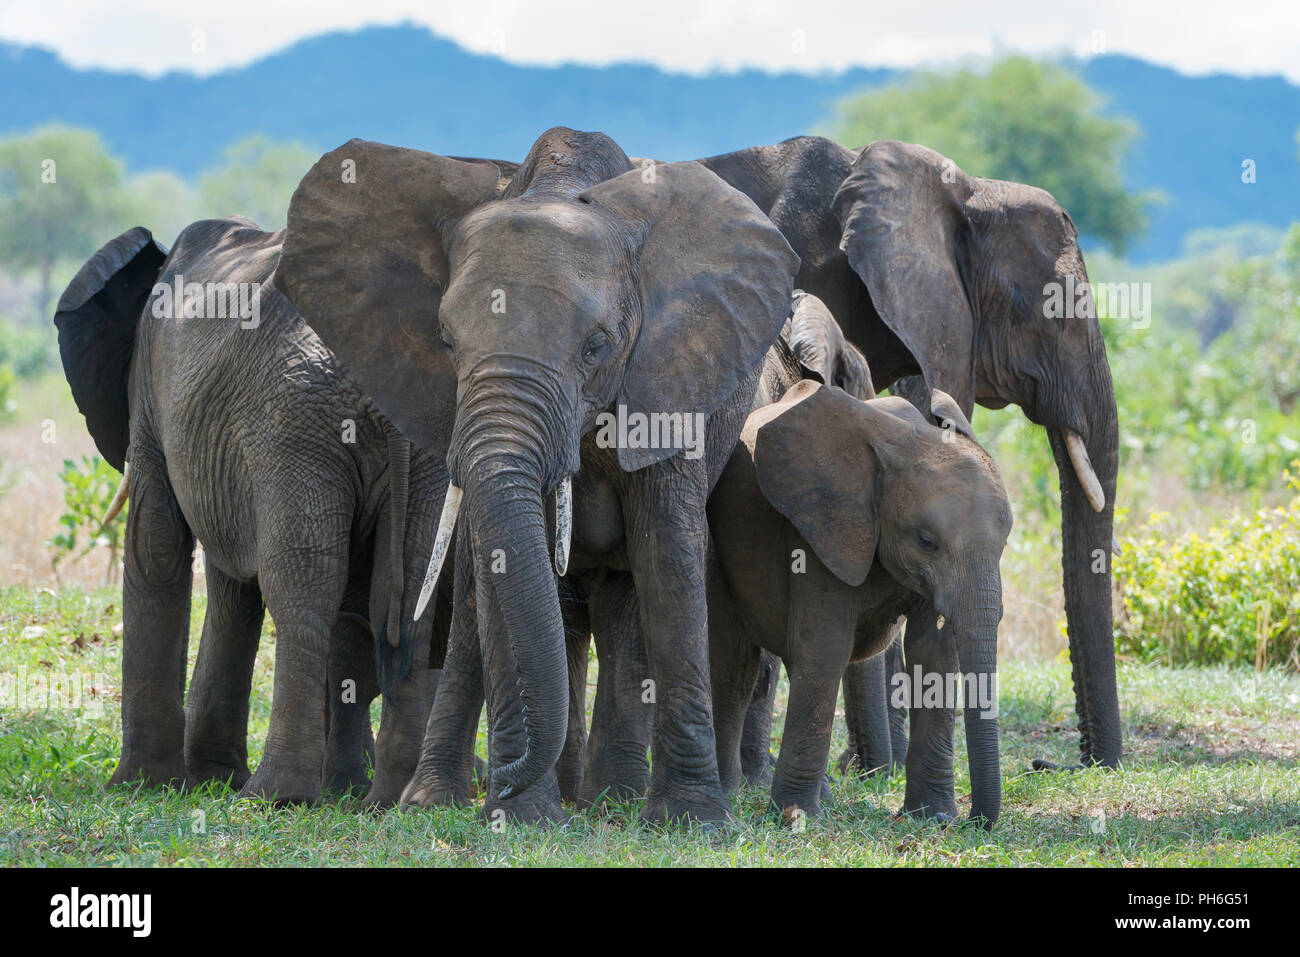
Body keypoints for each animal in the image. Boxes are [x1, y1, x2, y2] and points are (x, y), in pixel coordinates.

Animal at [54, 218, 452, 806]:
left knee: (302, 586)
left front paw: (141, 786)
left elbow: (157, 546)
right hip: (419, 447)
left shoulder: (150, 395)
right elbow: (232, 584)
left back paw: (276, 795)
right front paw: (207, 779)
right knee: (408, 594)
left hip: (293, 429)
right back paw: (390, 799)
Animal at [276, 127, 790, 826]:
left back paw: (608, 799)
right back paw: (447, 799)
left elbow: (668, 561)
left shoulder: (672, 377)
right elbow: (502, 579)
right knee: (481, 608)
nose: (506, 775)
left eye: (596, 346)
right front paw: (522, 817)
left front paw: (695, 822)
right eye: (444, 340)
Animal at [702, 377, 1013, 826]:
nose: (976, 822)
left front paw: (932, 818)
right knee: (736, 666)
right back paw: (732, 793)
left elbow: (932, 653)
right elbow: (826, 648)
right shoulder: (821, 526)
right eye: (927, 541)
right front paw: (799, 818)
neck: (907, 443)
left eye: (1005, 541)